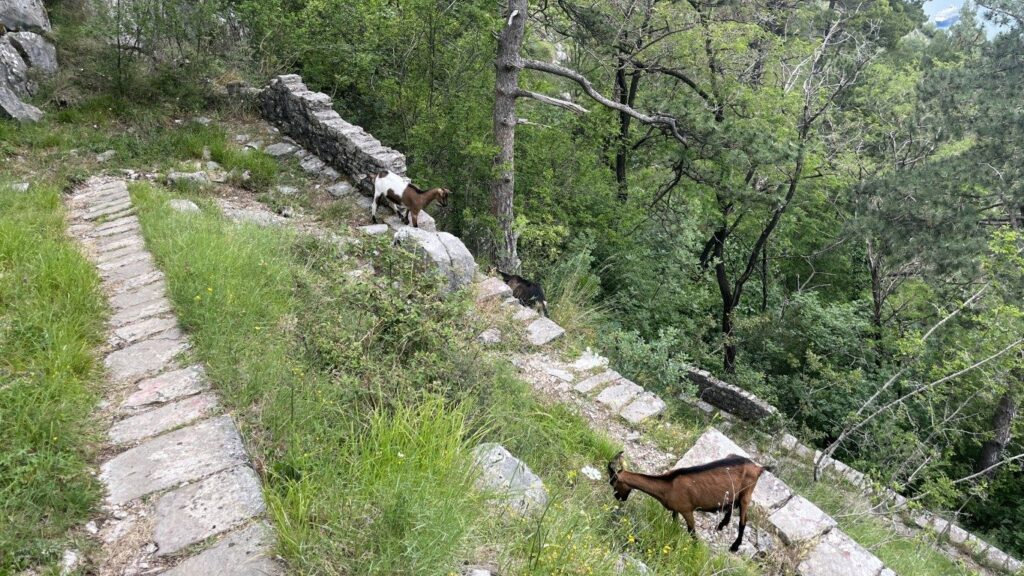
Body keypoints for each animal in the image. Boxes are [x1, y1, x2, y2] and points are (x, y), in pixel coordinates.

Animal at [607, 451, 768, 552]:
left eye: (613, 483)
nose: (618, 498)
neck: (668, 485)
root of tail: (758, 467)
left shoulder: (687, 510)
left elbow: (692, 531)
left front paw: (695, 548)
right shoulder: (676, 509)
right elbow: (674, 523)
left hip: (747, 493)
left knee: (743, 520)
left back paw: (734, 546)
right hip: (735, 492)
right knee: (732, 505)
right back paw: (722, 525)